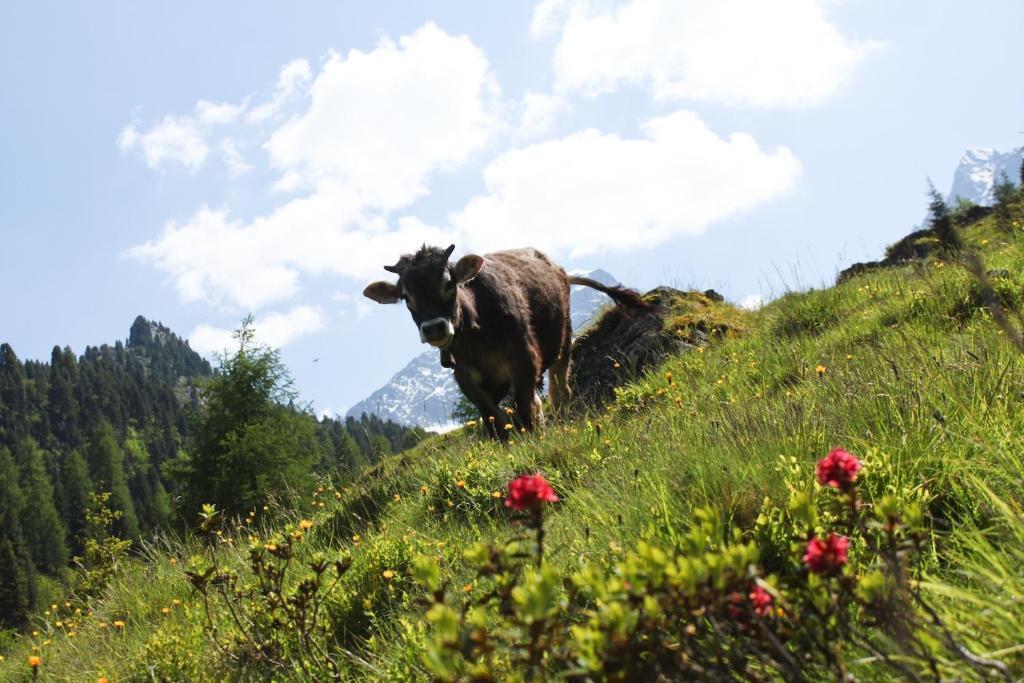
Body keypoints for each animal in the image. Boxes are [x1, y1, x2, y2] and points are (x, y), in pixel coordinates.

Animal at [364, 245, 643, 438]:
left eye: (449, 284)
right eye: (406, 297)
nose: (434, 328)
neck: (476, 341)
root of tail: (559, 270)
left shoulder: (524, 359)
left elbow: (523, 411)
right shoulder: (465, 378)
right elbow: (494, 421)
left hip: (562, 338)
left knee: (559, 388)